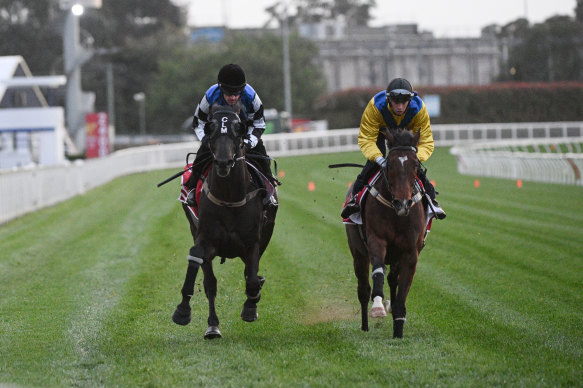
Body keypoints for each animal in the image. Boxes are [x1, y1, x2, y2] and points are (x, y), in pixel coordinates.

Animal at [172, 103, 278, 340]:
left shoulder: (253, 242)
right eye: (210, 129)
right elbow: (205, 275)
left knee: (250, 275)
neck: (230, 197)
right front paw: (185, 312)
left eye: (239, 129)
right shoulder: (206, 239)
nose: (223, 162)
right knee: (209, 281)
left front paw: (251, 307)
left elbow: (252, 280)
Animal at [344, 126, 426, 336]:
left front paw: (398, 326)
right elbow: (378, 271)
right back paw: (365, 326)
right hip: (358, 253)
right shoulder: (377, 240)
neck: (396, 214)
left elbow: (402, 289)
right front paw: (379, 306)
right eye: (389, 165)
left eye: (415, 165)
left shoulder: (410, 251)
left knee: (392, 278)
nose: (402, 203)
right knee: (363, 289)